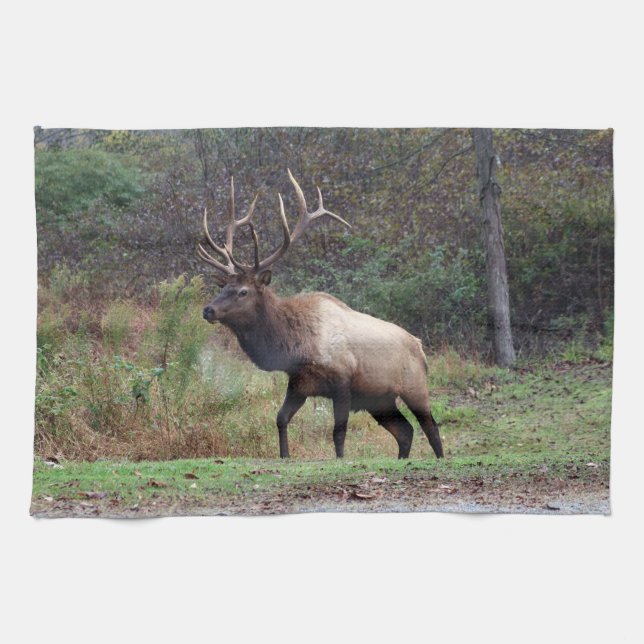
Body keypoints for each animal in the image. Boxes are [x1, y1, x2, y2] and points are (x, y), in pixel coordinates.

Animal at [197, 170, 444, 460]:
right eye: (223, 287)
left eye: (243, 291)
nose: (208, 309)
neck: (297, 347)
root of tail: (420, 347)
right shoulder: (299, 383)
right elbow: (281, 419)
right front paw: (285, 456)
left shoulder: (342, 381)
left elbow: (339, 431)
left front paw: (340, 459)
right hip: (379, 399)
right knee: (405, 431)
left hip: (414, 386)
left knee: (430, 427)